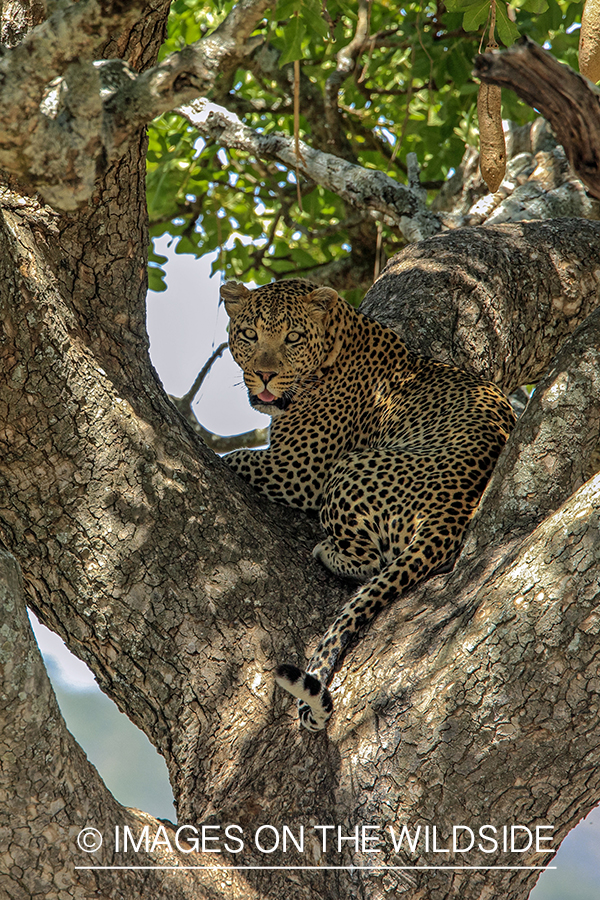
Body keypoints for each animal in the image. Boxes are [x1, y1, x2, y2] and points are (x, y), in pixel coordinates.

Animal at [221, 280, 516, 732]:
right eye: (249, 335)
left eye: (293, 337)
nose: (265, 374)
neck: (339, 338)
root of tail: (451, 513)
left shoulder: (298, 469)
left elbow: (232, 457)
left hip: (348, 469)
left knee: (372, 562)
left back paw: (328, 551)